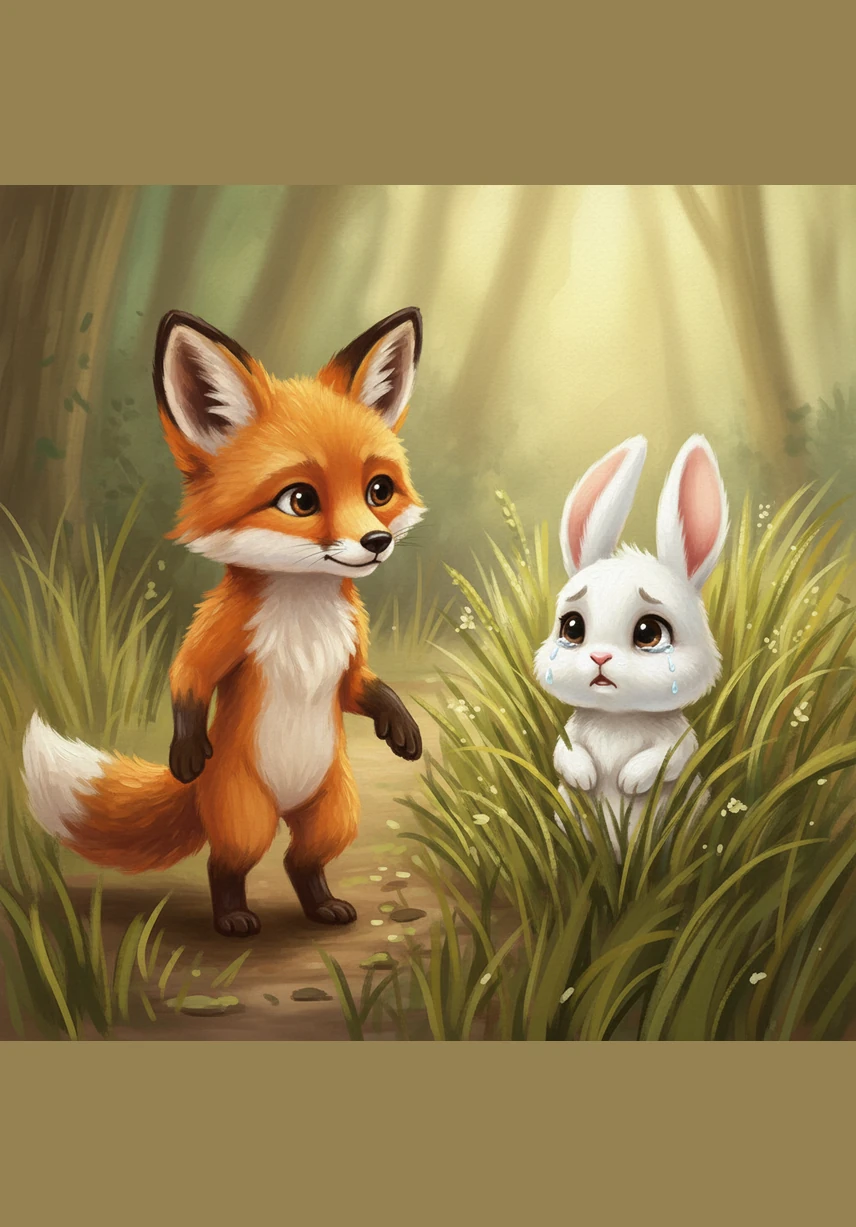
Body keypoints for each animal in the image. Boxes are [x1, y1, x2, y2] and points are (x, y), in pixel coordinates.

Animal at [533, 433, 729, 857]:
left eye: (649, 633)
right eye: (572, 627)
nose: (599, 656)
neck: (617, 718)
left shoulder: (679, 740)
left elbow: (670, 757)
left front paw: (630, 781)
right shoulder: (572, 734)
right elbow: (564, 753)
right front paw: (586, 777)